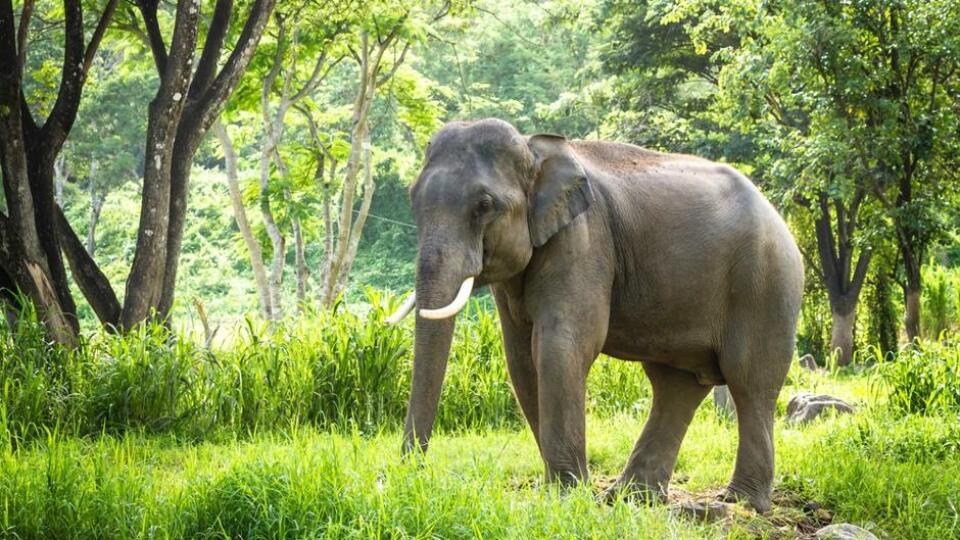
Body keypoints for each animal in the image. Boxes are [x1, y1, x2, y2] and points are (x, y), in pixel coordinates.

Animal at [386, 117, 808, 510]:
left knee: (749, 380)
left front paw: (567, 495)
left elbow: (561, 346)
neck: (533, 149)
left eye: (485, 205)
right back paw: (632, 497)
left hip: (765, 284)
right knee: (676, 385)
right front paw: (566, 491)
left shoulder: (585, 239)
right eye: (411, 198)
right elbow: (521, 359)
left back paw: (739, 502)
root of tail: (778, 216)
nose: (412, 475)